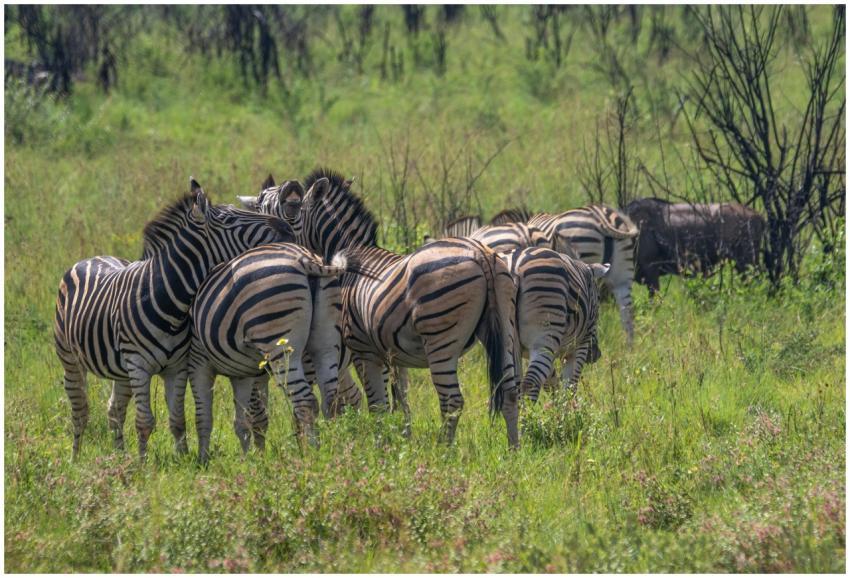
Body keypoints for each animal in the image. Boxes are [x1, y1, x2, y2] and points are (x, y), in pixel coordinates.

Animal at [53, 178, 293, 459]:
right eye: (230, 219)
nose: (287, 227)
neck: (171, 305)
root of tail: (92, 258)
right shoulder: (139, 366)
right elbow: (144, 421)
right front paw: (143, 464)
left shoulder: (176, 367)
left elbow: (178, 419)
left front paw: (183, 459)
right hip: (70, 359)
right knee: (80, 412)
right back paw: (75, 458)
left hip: (121, 370)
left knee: (114, 410)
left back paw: (120, 456)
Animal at [188, 242, 353, 461]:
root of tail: (306, 260)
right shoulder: (245, 373)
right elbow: (246, 419)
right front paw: (252, 459)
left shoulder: (198, 362)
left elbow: (203, 416)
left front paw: (203, 460)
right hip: (326, 340)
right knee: (330, 399)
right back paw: (335, 448)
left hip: (280, 343)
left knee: (306, 402)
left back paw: (314, 454)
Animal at [288, 168, 522, 447]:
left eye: (294, 217)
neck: (353, 262)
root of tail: (481, 253)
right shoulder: (394, 353)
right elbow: (401, 400)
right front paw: (403, 440)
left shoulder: (363, 350)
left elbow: (378, 405)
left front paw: (380, 447)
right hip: (505, 330)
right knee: (510, 393)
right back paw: (514, 448)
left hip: (439, 338)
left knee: (451, 401)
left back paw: (444, 450)